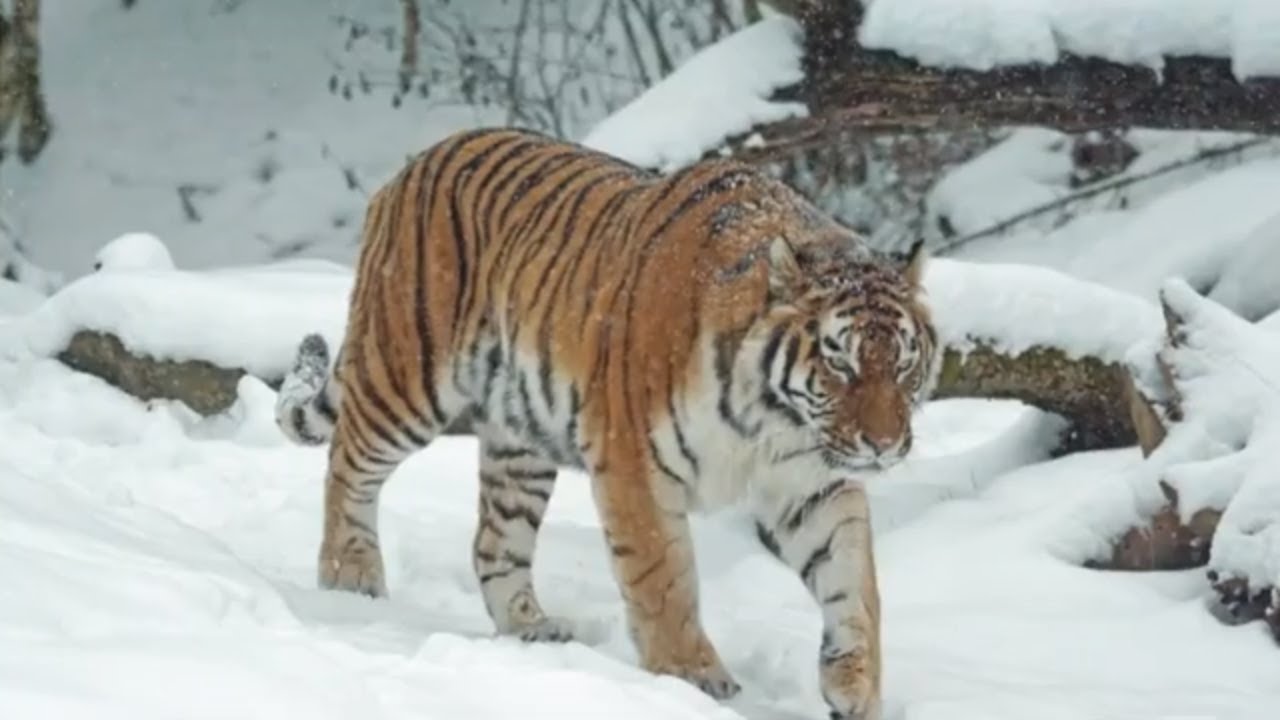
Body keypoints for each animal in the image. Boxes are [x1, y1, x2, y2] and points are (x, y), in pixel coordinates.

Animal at [274, 127, 939, 720]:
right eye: (839, 363)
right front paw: (691, 677)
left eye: (904, 365)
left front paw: (855, 685)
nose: (884, 446)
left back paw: (531, 629)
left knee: (494, 541)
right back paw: (351, 579)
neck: (772, 418)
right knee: (347, 464)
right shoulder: (635, 465)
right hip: (406, 375)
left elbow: (854, 580)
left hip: (520, 442)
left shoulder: (812, 481)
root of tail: (412, 165)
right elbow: (663, 580)